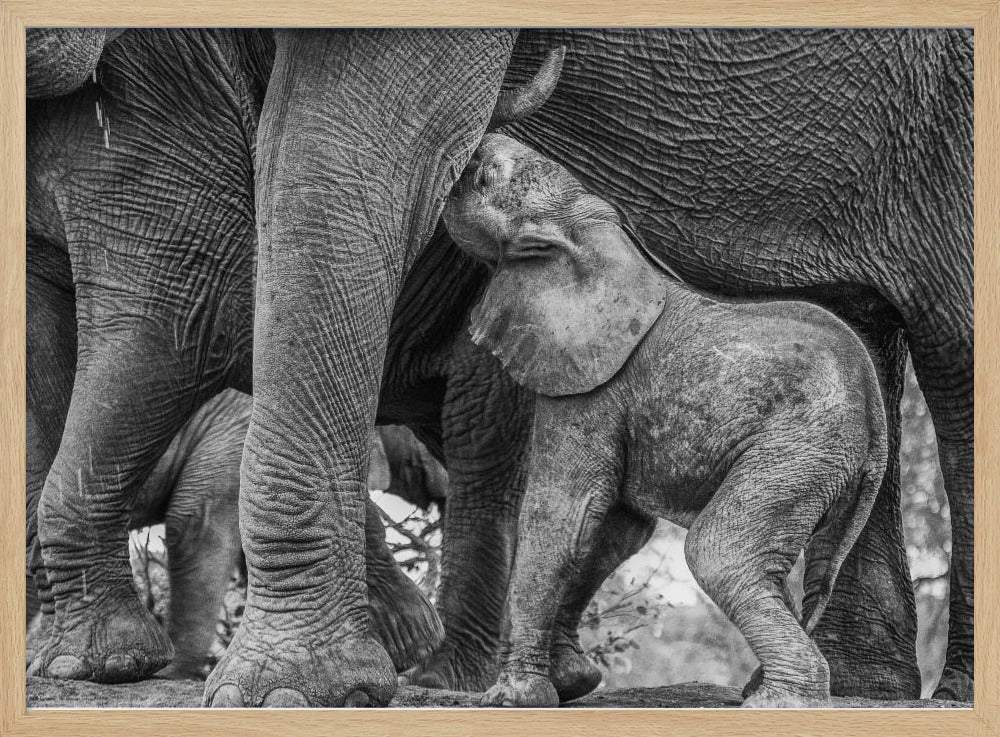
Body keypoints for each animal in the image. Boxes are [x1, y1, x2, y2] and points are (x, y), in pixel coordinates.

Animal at [443, 133, 890, 708]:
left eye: (485, 176)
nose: (479, 143)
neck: (594, 232)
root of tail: (876, 417)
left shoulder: (594, 386)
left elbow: (563, 515)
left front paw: (512, 699)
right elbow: (613, 529)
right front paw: (573, 683)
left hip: (798, 449)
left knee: (718, 551)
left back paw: (776, 702)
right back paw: (760, 690)